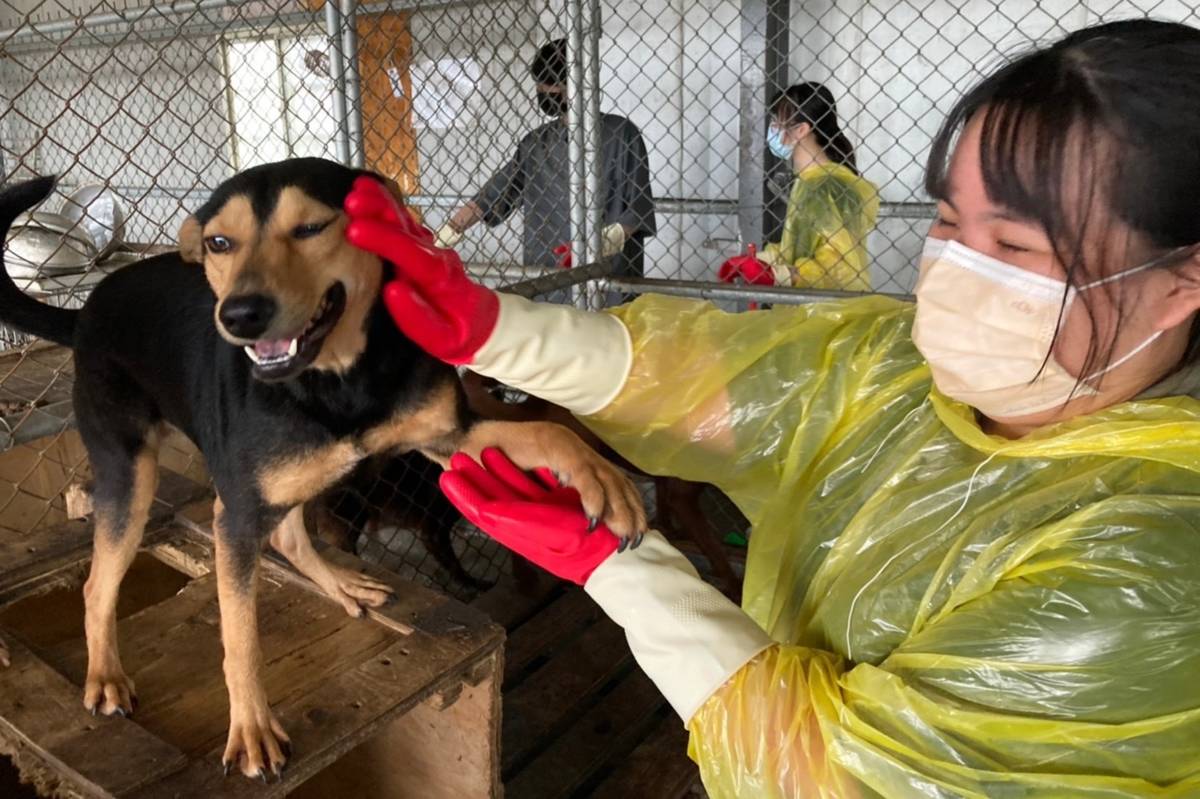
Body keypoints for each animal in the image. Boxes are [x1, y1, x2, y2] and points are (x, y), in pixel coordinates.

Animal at [0, 158, 643, 782]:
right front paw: (251, 730)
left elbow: (550, 432)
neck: (337, 377)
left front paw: (607, 484)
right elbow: (241, 637)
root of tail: (87, 309)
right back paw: (106, 675)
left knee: (286, 534)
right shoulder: (237, 518)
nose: (241, 315)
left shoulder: (446, 435)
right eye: (218, 242)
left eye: (311, 227)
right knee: (97, 582)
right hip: (132, 472)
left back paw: (341, 583)